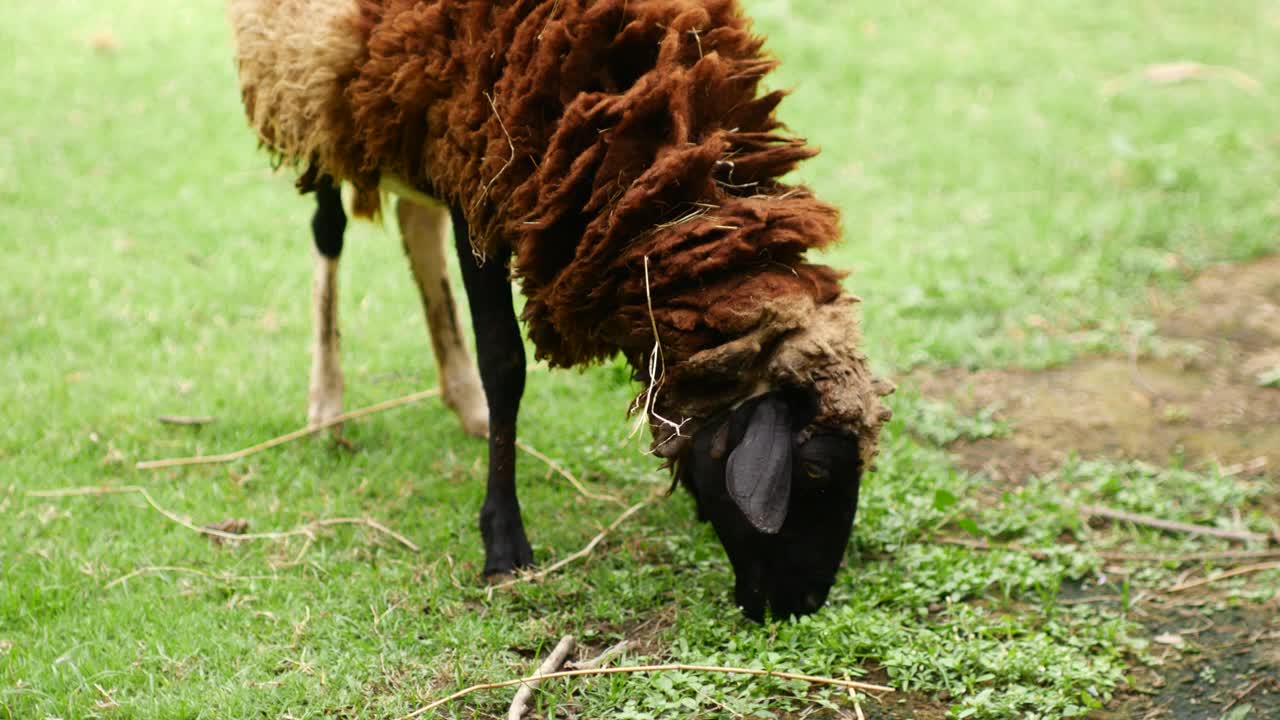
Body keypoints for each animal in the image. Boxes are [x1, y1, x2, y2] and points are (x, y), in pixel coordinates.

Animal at [227, 0, 890, 617]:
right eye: (814, 472)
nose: (803, 603)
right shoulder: (480, 193)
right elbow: (505, 364)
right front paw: (503, 544)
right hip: (313, 92)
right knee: (329, 231)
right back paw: (328, 405)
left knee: (416, 226)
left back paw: (460, 397)